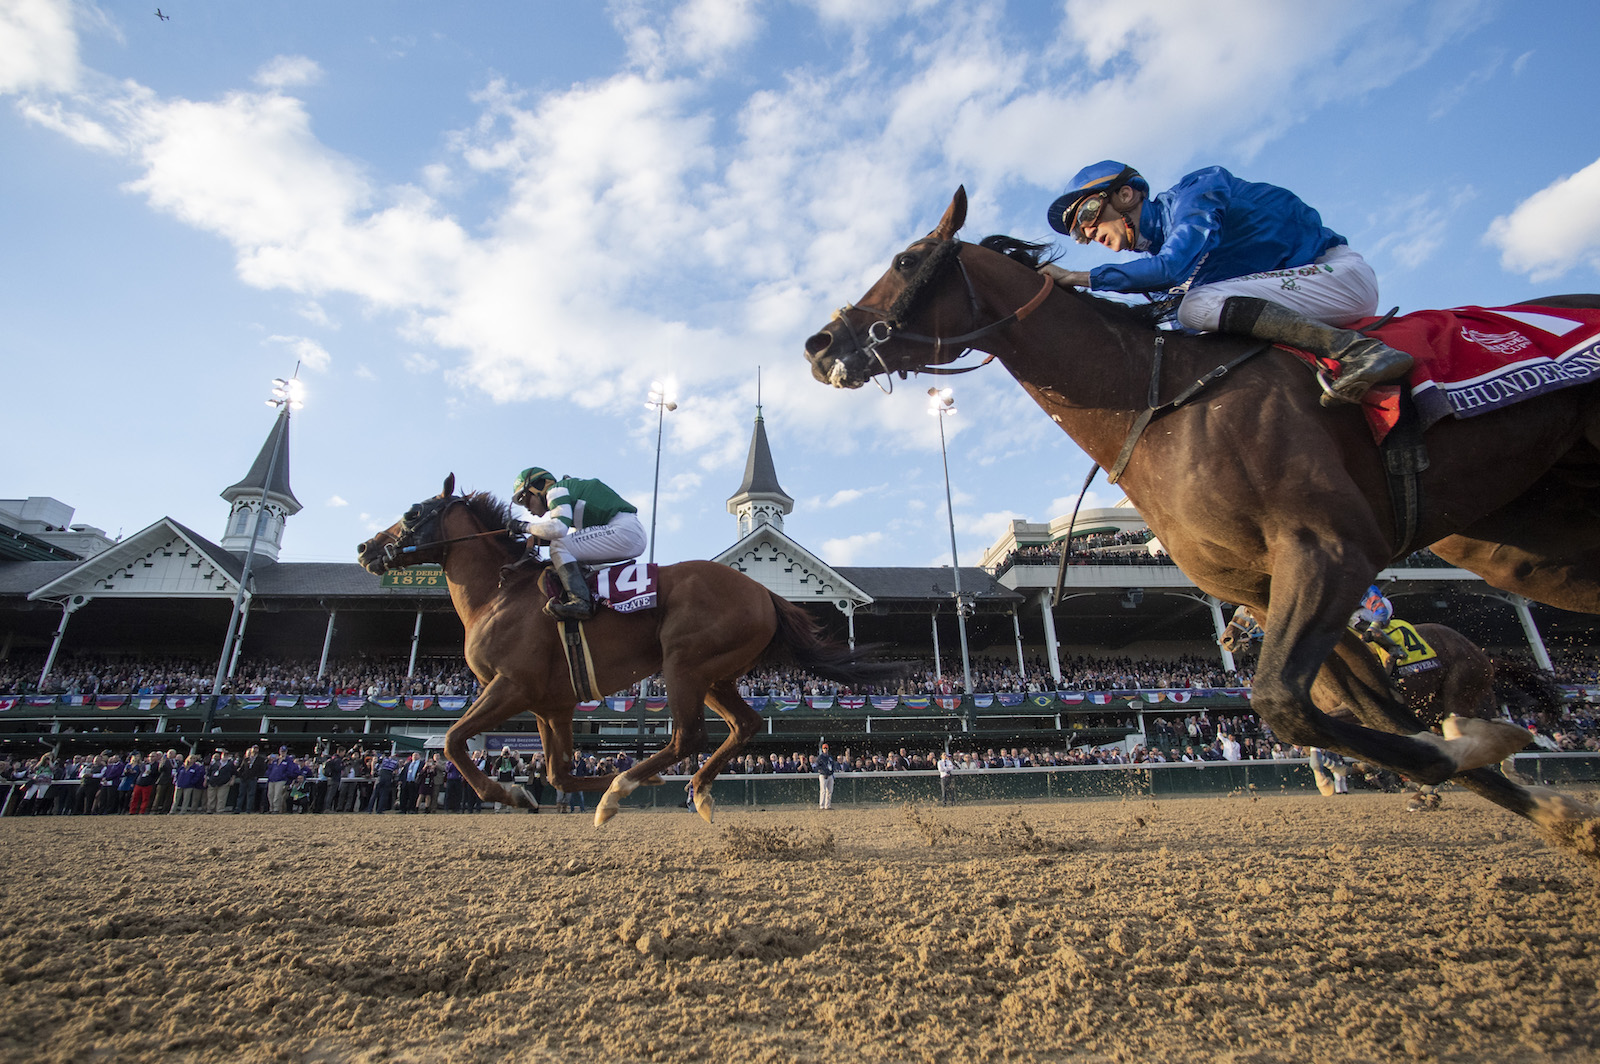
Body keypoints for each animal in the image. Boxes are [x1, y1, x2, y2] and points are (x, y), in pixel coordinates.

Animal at [355, 476, 896, 825]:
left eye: (411, 513)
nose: (365, 548)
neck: (500, 593)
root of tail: (765, 591)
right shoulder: (551, 705)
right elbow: (560, 773)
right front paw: (544, 792)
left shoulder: (510, 687)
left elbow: (452, 741)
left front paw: (509, 791)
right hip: (713, 675)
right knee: (742, 726)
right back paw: (694, 791)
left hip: (683, 664)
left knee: (688, 736)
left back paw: (623, 790)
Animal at [806, 186, 1600, 857]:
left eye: (906, 260)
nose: (819, 346)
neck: (1163, 403)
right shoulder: (1263, 586)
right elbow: (1360, 713)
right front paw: (1546, 801)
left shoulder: (1329, 549)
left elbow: (1289, 702)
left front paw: (1479, 751)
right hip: (1534, 547)